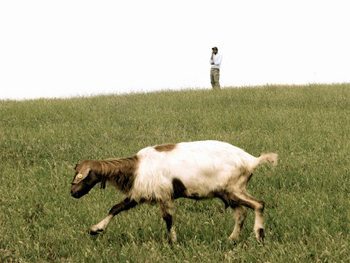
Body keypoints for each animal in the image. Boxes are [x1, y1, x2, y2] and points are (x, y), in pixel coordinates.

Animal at [70, 140, 278, 243]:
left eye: (83, 176)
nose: (73, 193)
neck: (136, 167)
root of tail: (251, 160)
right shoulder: (139, 193)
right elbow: (116, 208)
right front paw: (96, 229)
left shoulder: (163, 195)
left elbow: (168, 220)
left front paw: (174, 242)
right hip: (228, 193)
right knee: (241, 213)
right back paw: (231, 239)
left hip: (233, 188)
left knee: (259, 204)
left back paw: (259, 235)